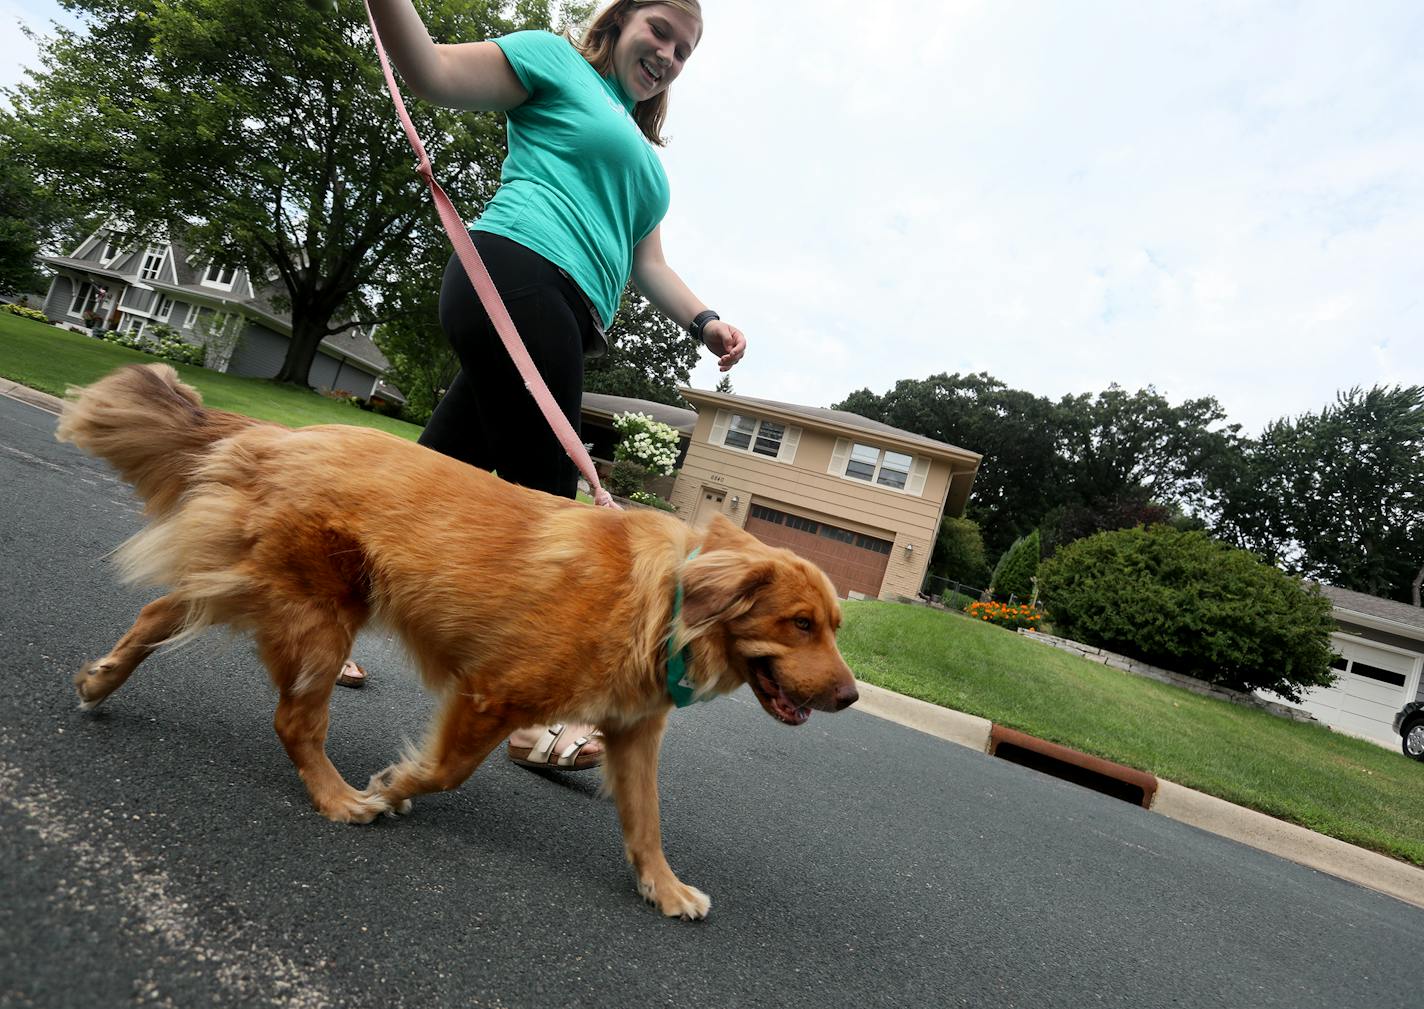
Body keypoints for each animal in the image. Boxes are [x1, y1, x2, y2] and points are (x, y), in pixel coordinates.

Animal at [55, 364, 854, 922]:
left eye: (835, 626)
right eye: (800, 623)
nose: (850, 696)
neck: (665, 600)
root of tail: (277, 435)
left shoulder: (632, 734)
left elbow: (646, 820)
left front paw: (664, 886)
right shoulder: (489, 694)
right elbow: (445, 771)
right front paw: (391, 786)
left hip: (257, 585)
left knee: (157, 612)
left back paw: (101, 679)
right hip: (318, 618)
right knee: (293, 720)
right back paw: (339, 798)